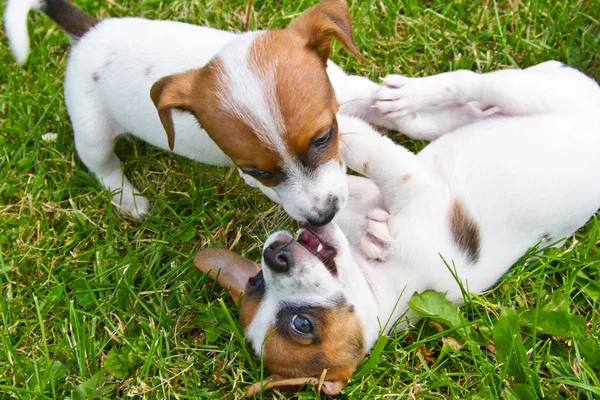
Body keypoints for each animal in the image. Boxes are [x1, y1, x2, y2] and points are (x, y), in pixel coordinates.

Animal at [5, 0, 384, 225]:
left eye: (324, 137)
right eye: (258, 172)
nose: (322, 217)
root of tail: (88, 33)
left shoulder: (348, 89)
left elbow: (373, 97)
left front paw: (397, 100)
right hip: (91, 131)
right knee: (103, 166)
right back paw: (128, 199)